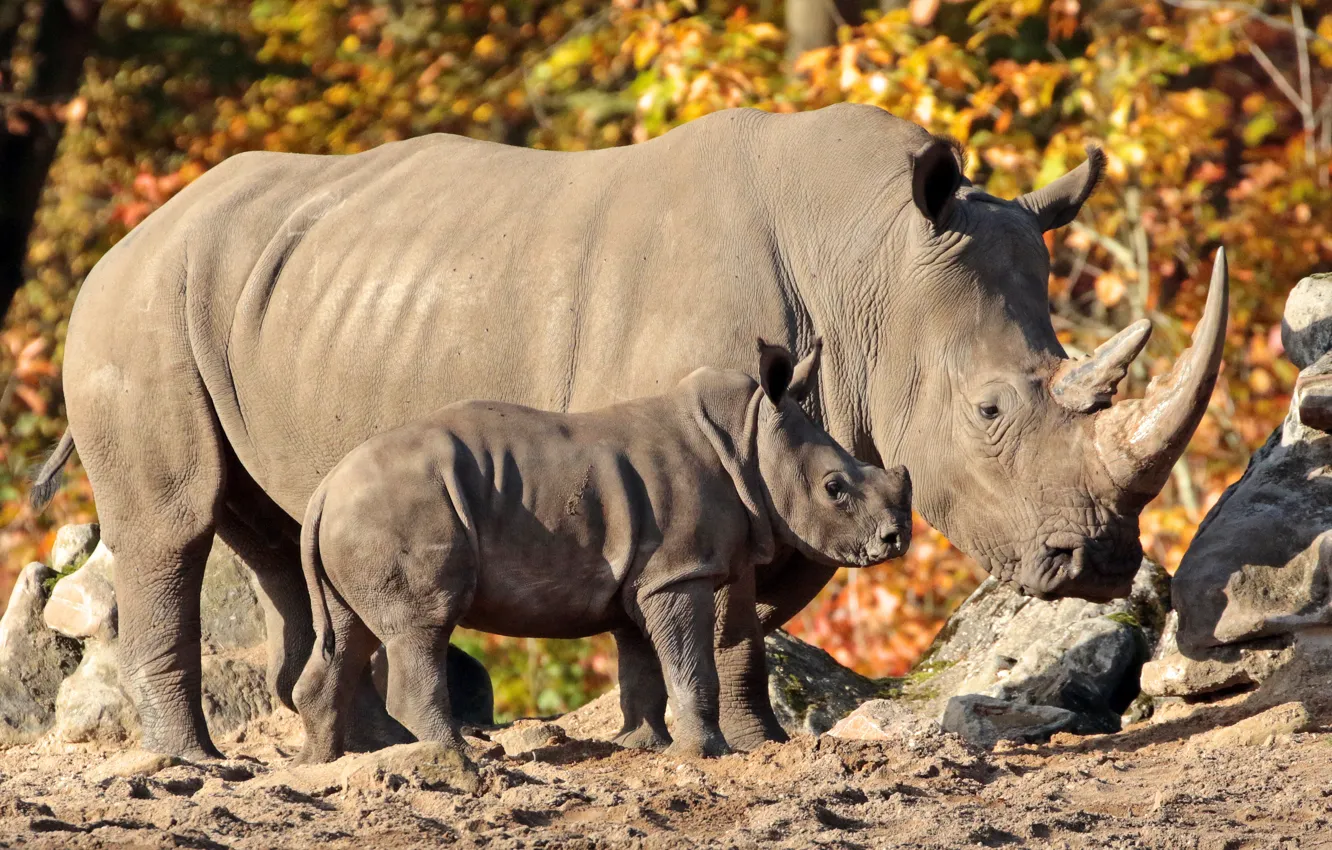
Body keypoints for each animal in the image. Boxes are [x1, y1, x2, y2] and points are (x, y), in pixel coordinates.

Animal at [293, 341, 912, 762]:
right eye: (834, 489)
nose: (896, 538)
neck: (748, 440)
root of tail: (323, 491)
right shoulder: (677, 574)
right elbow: (691, 665)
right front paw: (709, 753)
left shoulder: (646, 577)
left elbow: (642, 665)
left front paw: (645, 745)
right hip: (399, 509)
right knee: (422, 628)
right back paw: (466, 763)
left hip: (362, 516)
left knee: (349, 632)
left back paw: (326, 765)